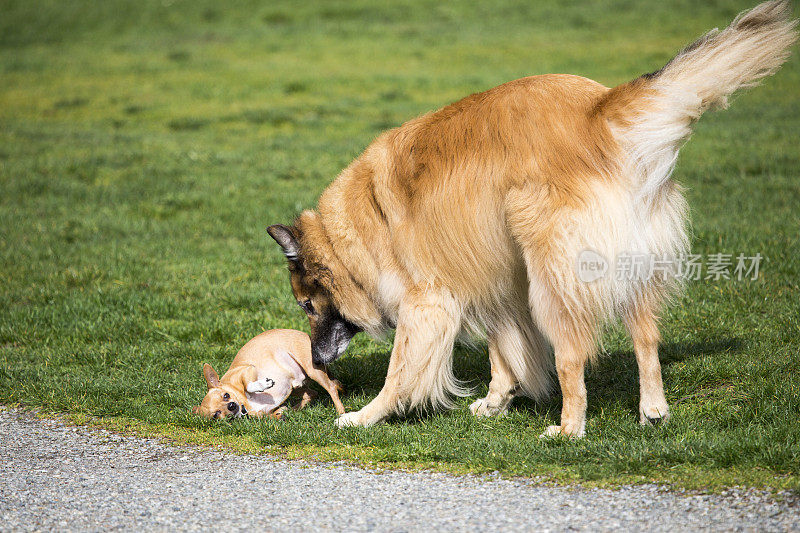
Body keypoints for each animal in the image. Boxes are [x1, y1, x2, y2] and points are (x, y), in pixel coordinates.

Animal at [195, 328, 346, 420]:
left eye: (226, 395)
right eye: (216, 415)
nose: (231, 406)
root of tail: (305, 334)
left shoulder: (248, 370)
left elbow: (248, 385)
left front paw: (262, 384)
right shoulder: (263, 414)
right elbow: (273, 414)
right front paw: (282, 412)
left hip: (312, 370)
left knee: (331, 388)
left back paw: (341, 412)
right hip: (295, 387)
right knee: (312, 393)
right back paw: (293, 409)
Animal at [268, 2, 792, 434]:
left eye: (307, 306)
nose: (316, 362)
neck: (355, 228)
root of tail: (596, 112)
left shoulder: (429, 302)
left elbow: (402, 371)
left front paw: (365, 416)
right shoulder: (496, 282)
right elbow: (505, 353)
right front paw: (496, 402)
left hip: (555, 279)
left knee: (572, 358)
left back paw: (569, 428)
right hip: (625, 266)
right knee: (647, 338)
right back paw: (653, 410)